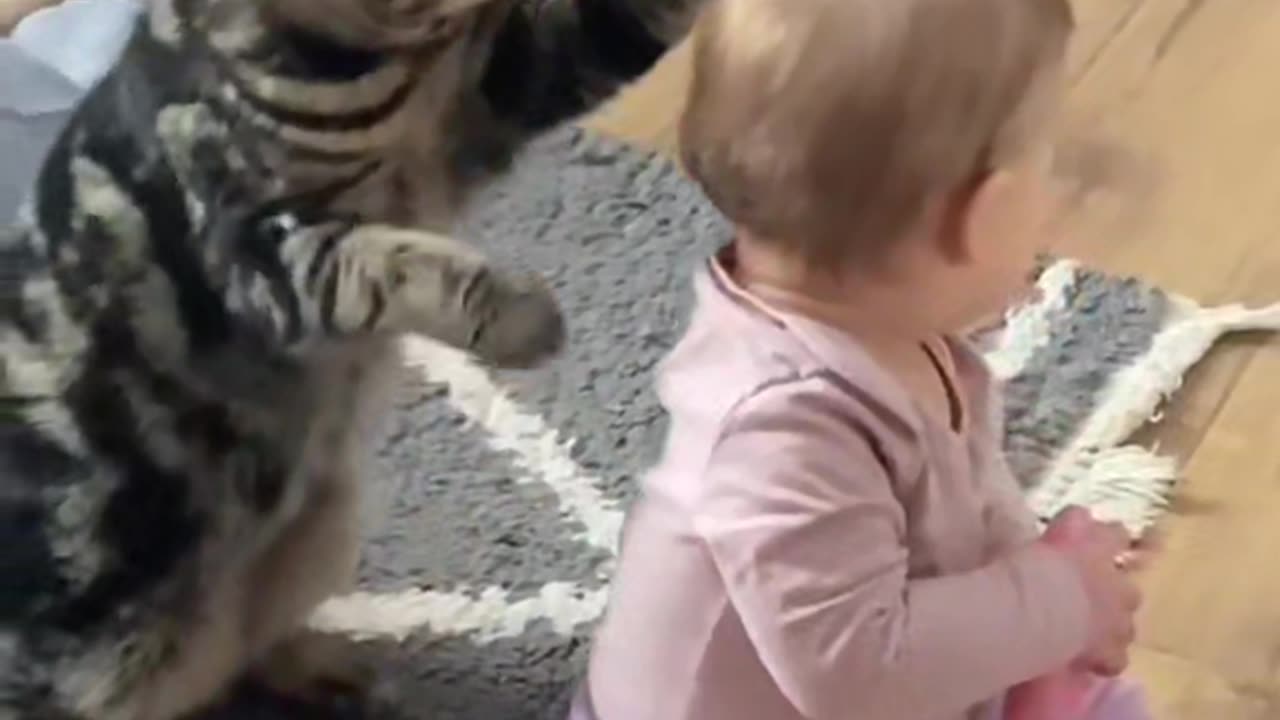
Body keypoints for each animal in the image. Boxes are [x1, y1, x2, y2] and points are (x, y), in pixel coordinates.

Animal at [0, 0, 701, 712]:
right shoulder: (253, 248)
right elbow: (377, 260)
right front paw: (519, 316)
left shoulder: (505, 84)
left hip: (318, 537)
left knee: (249, 649)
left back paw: (336, 673)